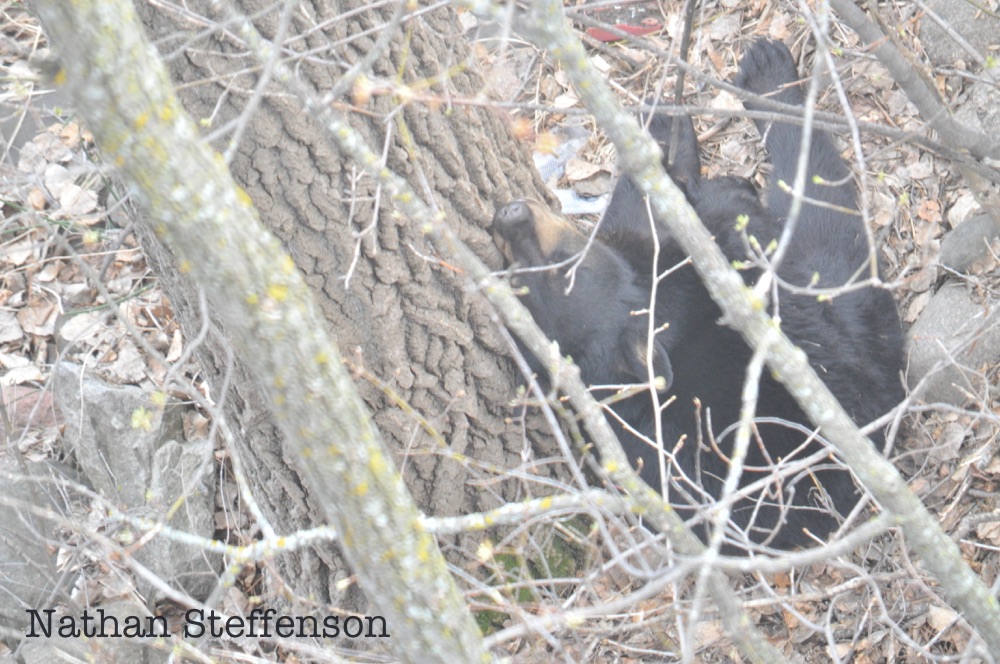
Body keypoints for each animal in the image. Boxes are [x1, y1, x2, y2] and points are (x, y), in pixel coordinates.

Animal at [493, 40, 904, 551]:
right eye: (529, 276)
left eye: (561, 260)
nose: (508, 216)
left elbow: (640, 210)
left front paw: (660, 125)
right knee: (827, 227)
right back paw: (770, 79)